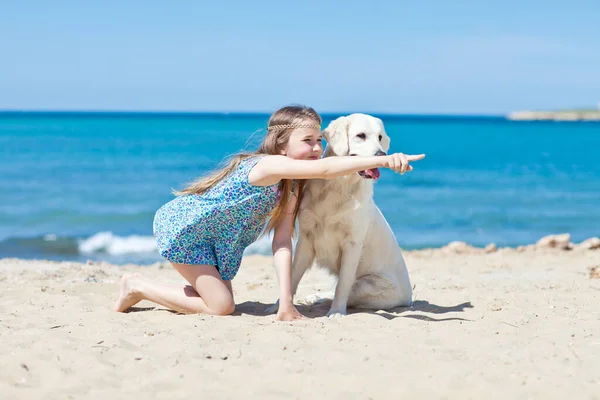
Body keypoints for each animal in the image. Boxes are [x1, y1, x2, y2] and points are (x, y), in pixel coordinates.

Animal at [290, 113, 412, 318]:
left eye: (380, 137)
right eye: (360, 135)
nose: (381, 155)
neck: (338, 186)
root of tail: (409, 298)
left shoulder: (352, 243)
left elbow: (342, 285)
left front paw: (336, 313)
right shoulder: (306, 239)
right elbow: (292, 277)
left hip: (367, 285)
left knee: (348, 293)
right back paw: (315, 298)